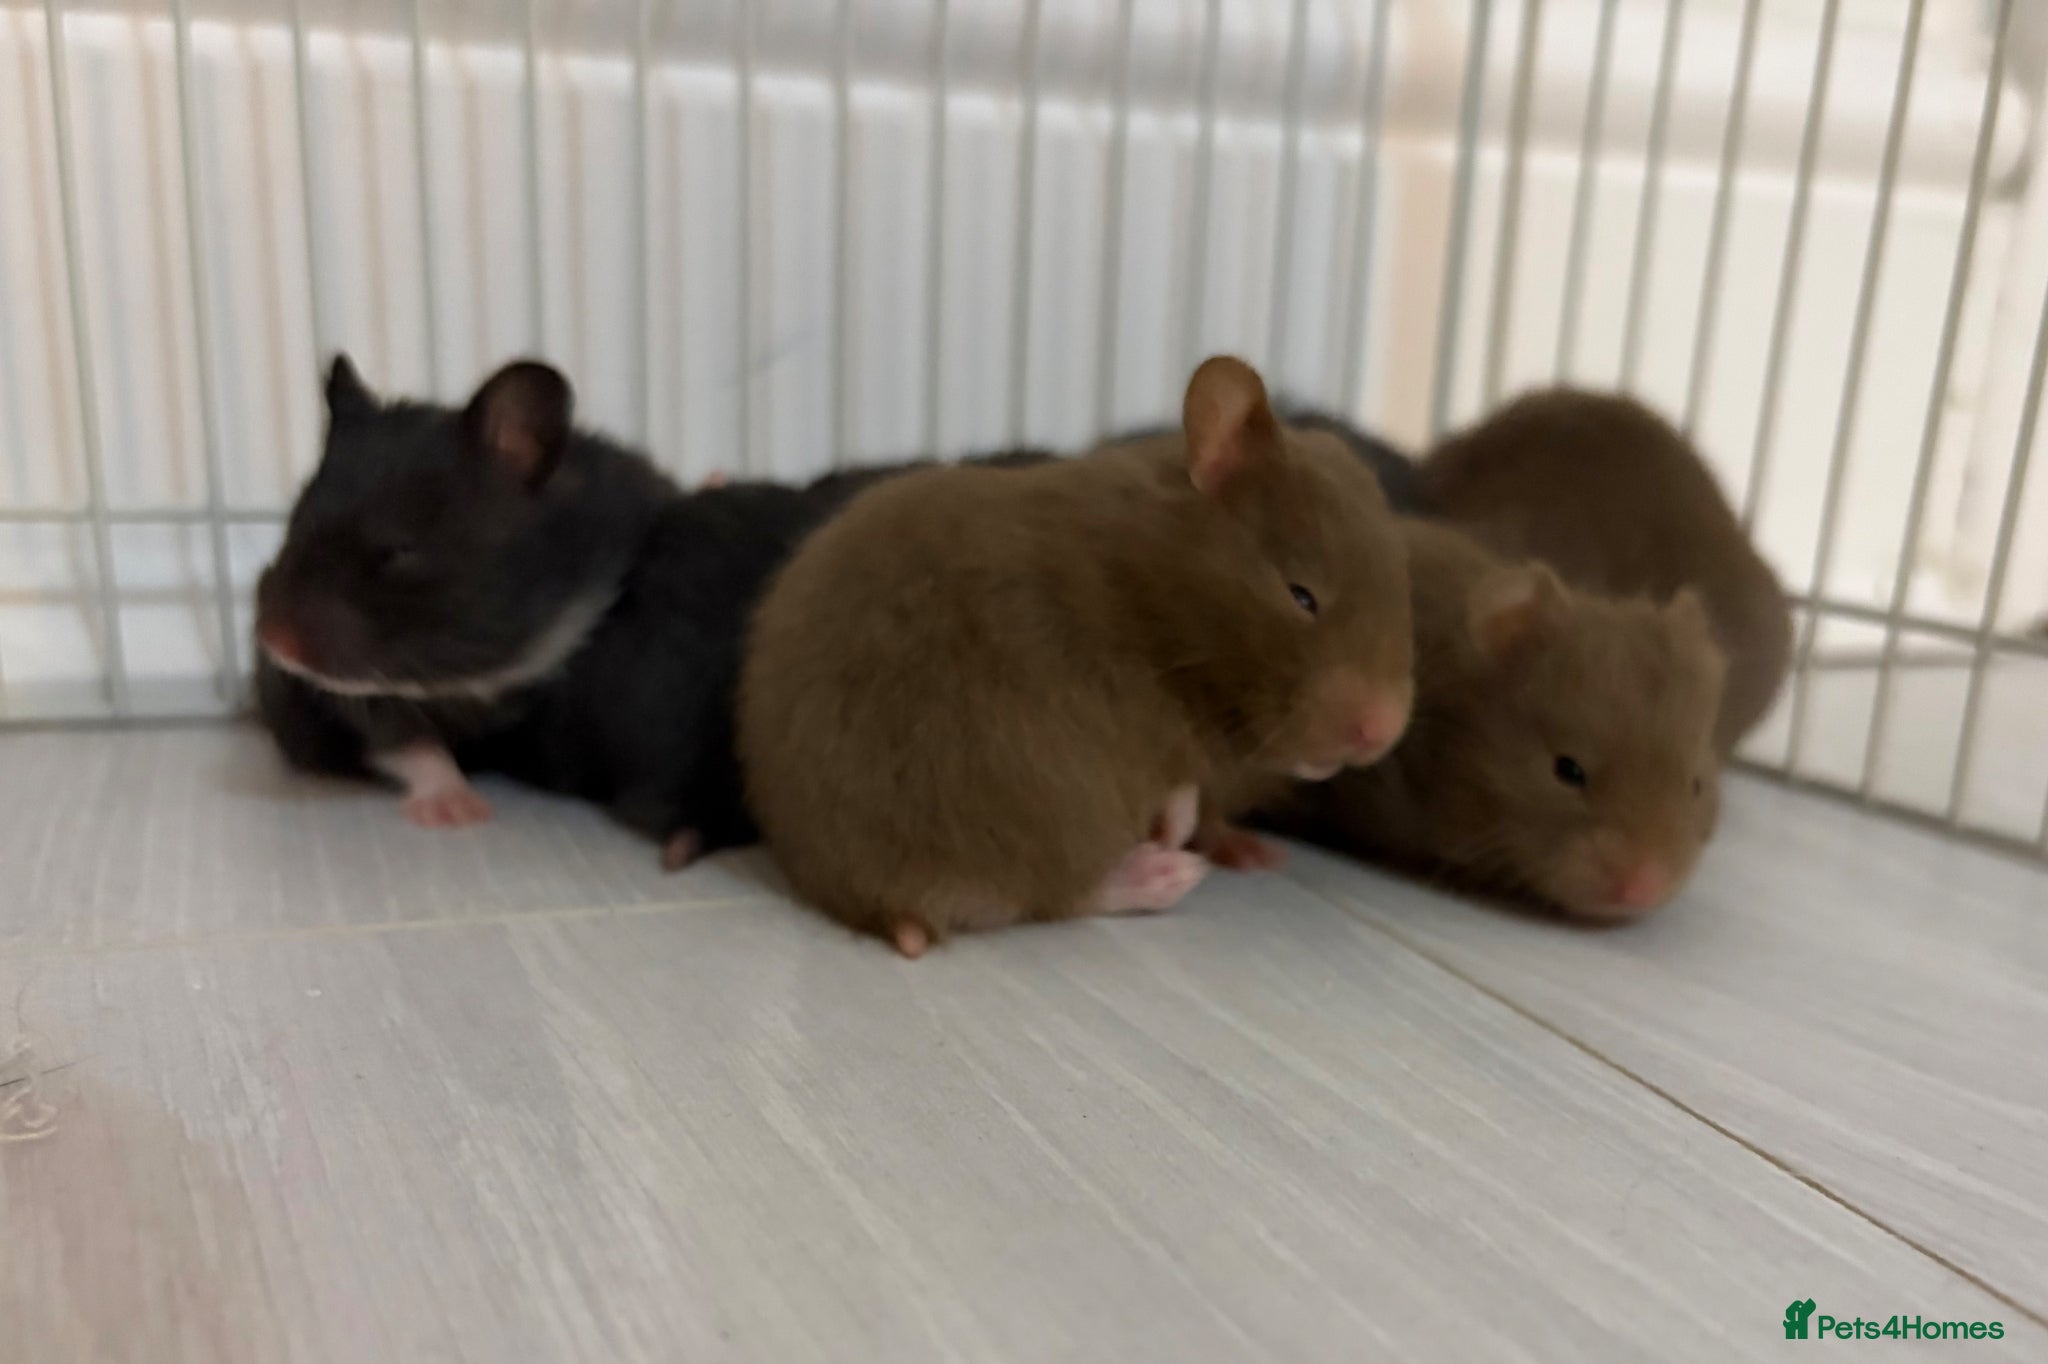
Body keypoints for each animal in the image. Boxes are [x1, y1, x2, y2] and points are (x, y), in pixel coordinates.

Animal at [739, 356, 1415, 957]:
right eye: (1302, 596)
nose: (1380, 733)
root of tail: (881, 901)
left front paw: (1247, 849)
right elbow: (1179, 792)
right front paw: (1182, 830)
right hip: (1052, 794)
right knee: (1061, 892)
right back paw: (1164, 874)